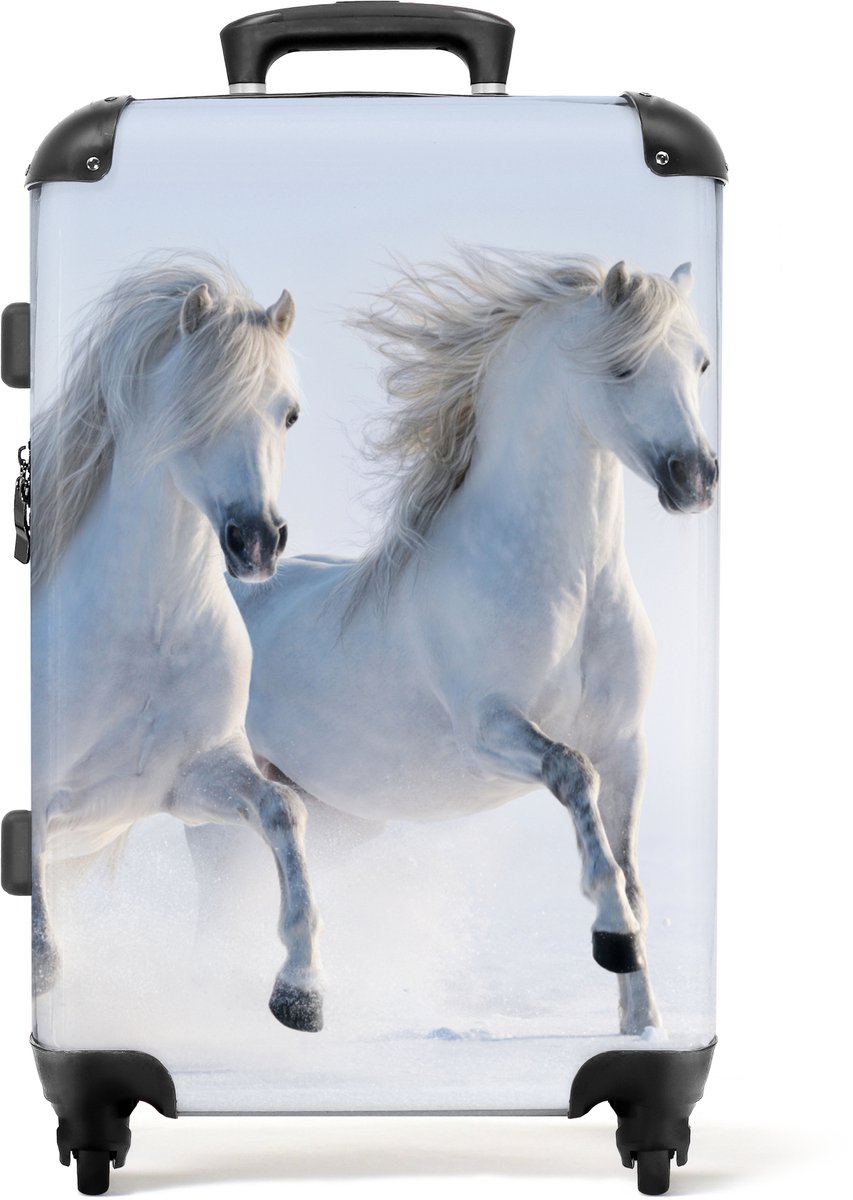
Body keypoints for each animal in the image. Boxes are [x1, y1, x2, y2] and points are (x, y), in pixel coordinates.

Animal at [31, 258, 324, 1033]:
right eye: (197, 410)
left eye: (289, 413)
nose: (257, 542)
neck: (149, 633)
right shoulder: (41, 799)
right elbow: (41, 934)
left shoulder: (189, 779)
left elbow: (284, 811)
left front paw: (301, 990)